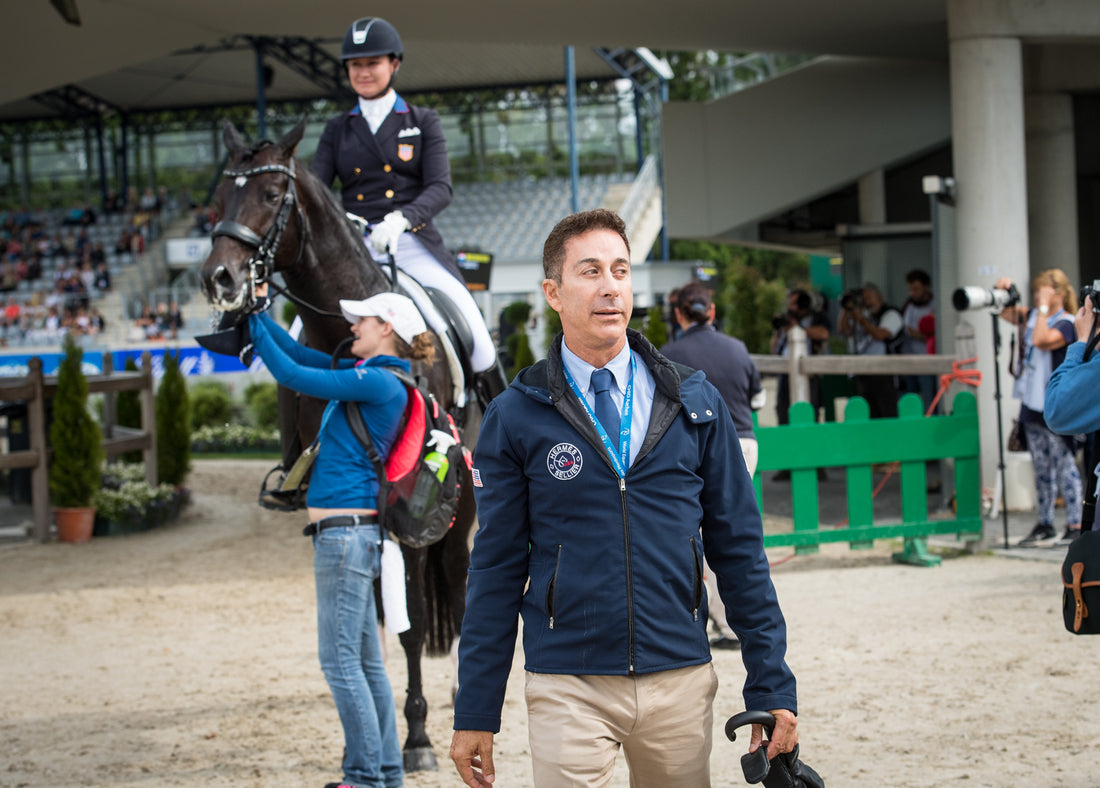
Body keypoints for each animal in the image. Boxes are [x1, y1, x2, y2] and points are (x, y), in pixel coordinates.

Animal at [200, 119, 475, 774]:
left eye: (272, 194)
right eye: (218, 199)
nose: (219, 279)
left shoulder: (409, 515)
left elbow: (412, 623)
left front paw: (418, 738)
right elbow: (365, 625)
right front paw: (374, 737)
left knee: (460, 586)